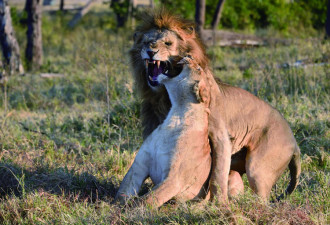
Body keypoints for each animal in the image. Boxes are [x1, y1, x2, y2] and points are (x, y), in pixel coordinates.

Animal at [115, 56, 211, 207]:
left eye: (198, 68)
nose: (189, 57)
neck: (177, 112)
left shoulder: (174, 179)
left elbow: (148, 199)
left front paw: (130, 210)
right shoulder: (139, 165)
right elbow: (123, 190)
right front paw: (113, 207)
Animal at [127, 8, 302, 202]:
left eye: (168, 43)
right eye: (146, 42)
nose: (150, 51)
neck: (166, 98)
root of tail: (294, 143)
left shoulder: (220, 136)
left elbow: (217, 175)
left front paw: (218, 204)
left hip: (258, 168)